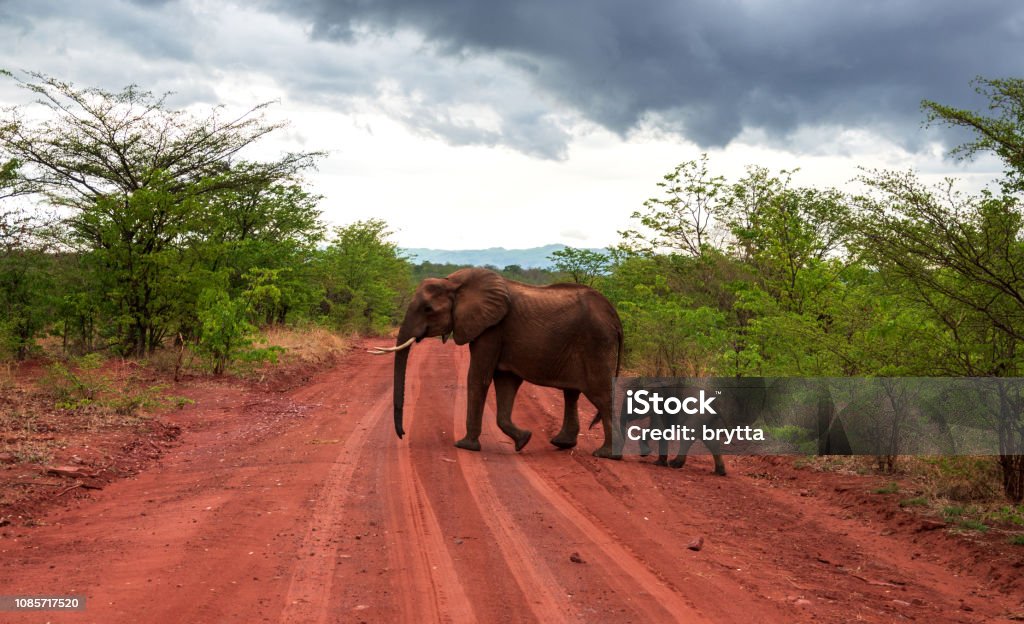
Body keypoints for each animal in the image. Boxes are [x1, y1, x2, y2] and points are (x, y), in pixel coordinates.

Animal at [370, 268, 618, 456]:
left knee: (602, 396)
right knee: (571, 393)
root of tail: (614, 315)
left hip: (596, 343)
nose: (402, 434)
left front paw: (465, 446)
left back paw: (606, 454)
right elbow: (505, 384)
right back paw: (562, 444)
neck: (454, 283)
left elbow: (478, 378)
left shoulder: (492, 328)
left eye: (428, 309)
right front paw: (524, 440)